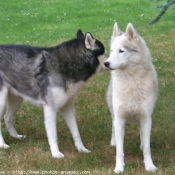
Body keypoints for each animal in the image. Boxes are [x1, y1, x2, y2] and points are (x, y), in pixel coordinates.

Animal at [0, 29, 105, 157]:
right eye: (105, 52)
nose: (109, 63)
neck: (67, 64)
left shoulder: (67, 107)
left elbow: (76, 132)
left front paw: (81, 149)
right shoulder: (50, 109)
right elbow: (53, 135)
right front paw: (56, 154)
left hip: (16, 99)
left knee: (7, 117)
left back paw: (16, 136)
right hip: (2, 100)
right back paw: (2, 145)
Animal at [104, 22, 159, 173]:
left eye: (121, 51)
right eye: (111, 51)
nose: (106, 63)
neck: (131, 82)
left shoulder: (146, 117)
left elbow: (147, 148)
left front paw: (149, 166)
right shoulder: (120, 118)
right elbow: (120, 151)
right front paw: (119, 168)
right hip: (113, 111)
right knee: (112, 125)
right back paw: (113, 142)